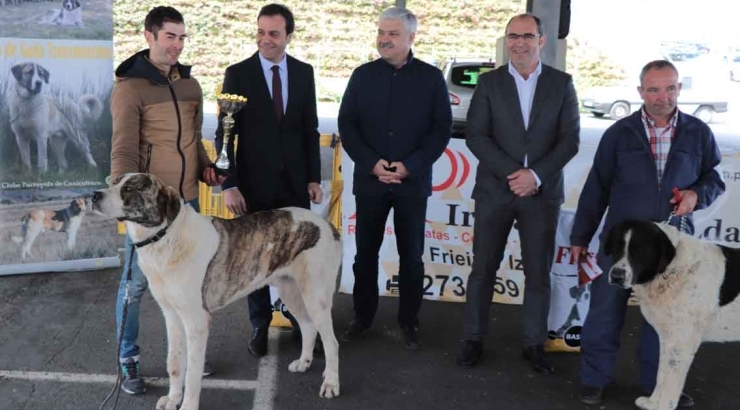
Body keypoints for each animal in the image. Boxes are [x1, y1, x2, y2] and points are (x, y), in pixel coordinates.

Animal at [91, 174, 340, 410]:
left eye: (130, 188)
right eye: (113, 182)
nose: (94, 195)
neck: (165, 237)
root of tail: (327, 224)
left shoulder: (197, 322)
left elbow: (192, 373)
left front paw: (188, 406)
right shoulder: (171, 316)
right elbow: (174, 364)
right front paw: (173, 399)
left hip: (315, 297)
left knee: (331, 341)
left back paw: (331, 383)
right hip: (290, 291)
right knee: (308, 327)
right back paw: (304, 362)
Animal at [604, 221, 740, 410]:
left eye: (640, 250)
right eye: (617, 246)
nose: (616, 275)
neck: (670, 269)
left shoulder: (681, 342)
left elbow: (671, 379)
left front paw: (663, 406)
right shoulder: (668, 338)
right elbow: (661, 374)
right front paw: (652, 402)